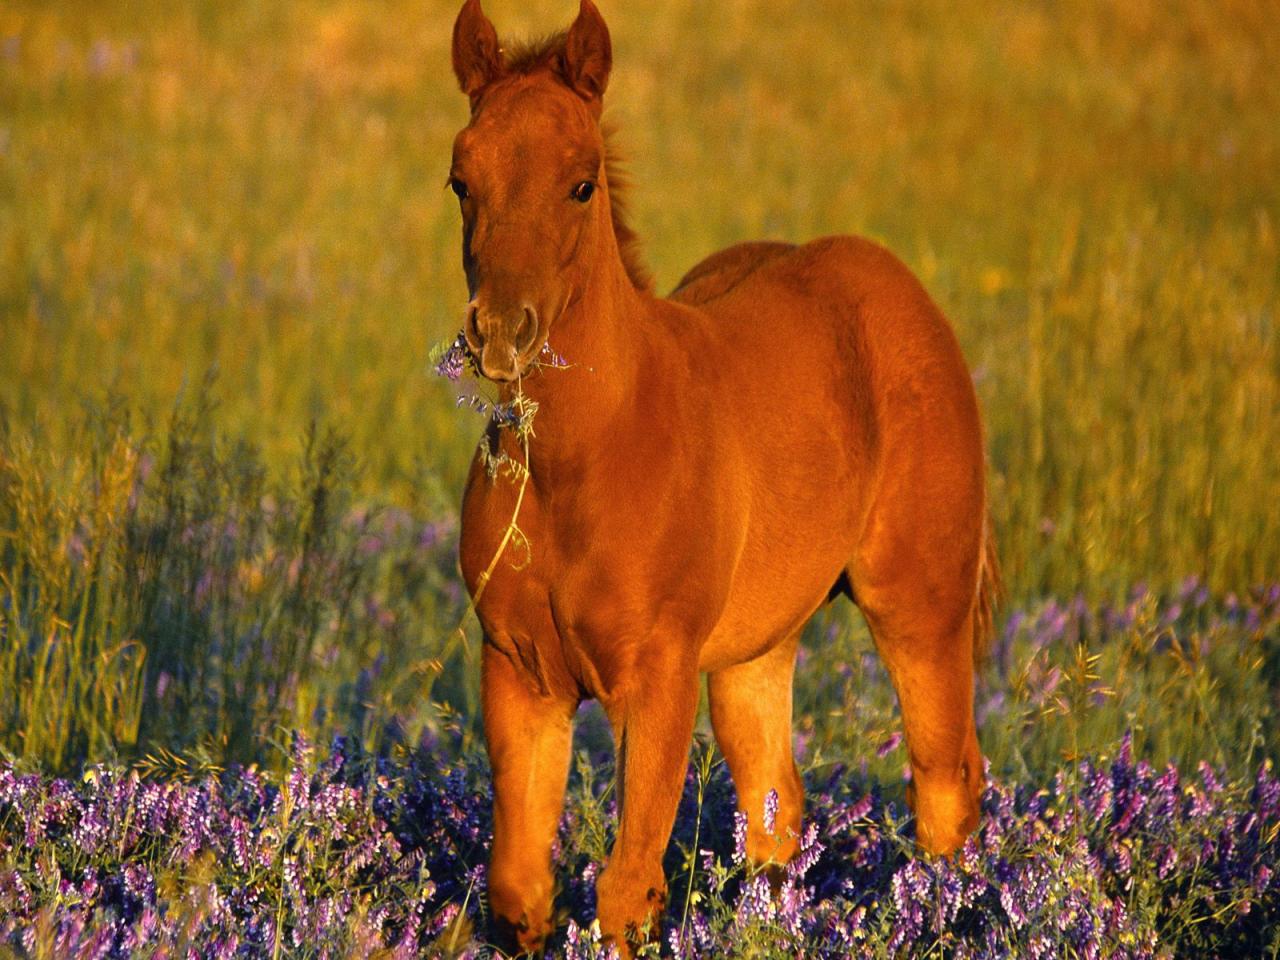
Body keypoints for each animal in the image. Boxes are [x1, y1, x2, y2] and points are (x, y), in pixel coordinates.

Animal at [450, 0, 998, 957]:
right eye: (461, 180)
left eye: (581, 184)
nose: (502, 333)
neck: (578, 467)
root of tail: (902, 290)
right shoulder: (520, 670)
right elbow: (519, 891)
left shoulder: (658, 677)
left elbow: (626, 892)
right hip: (756, 648)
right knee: (777, 813)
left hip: (919, 605)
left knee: (944, 789)